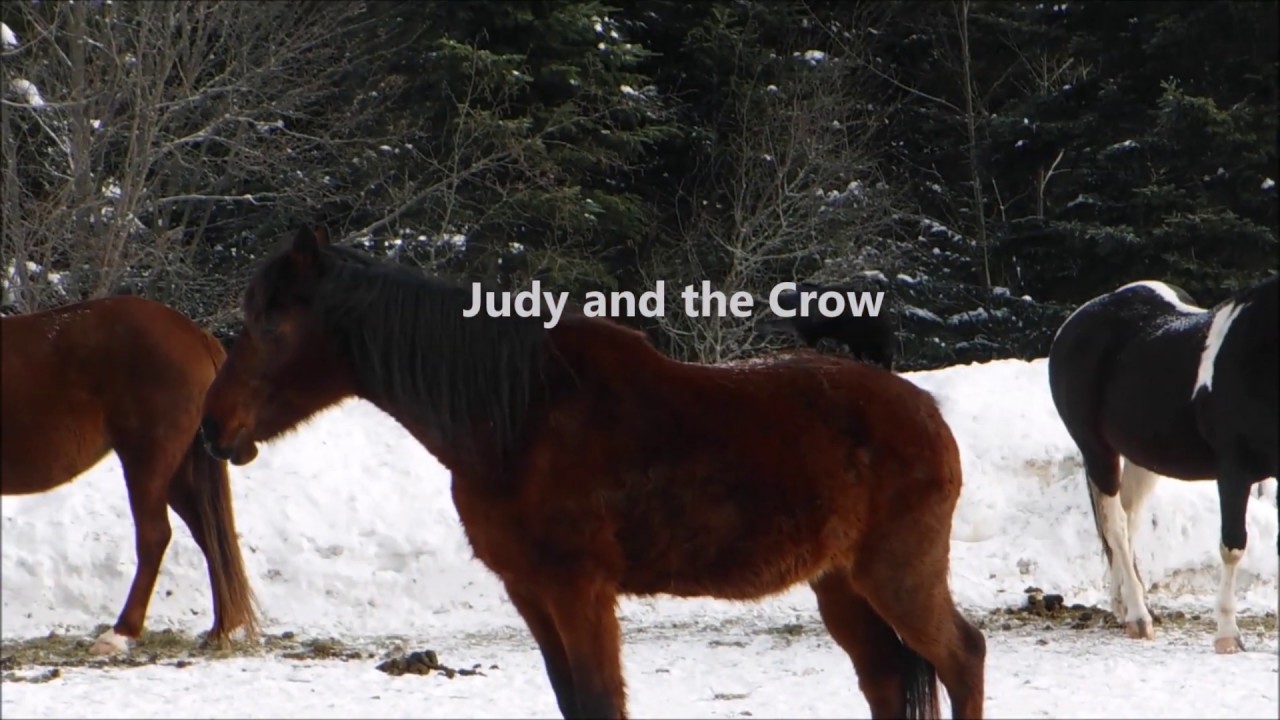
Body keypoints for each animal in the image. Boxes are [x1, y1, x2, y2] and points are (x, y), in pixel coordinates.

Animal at [1, 295, 260, 655]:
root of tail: (193, 332)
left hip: (145, 461)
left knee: (155, 536)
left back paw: (120, 632)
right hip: (177, 473)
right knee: (208, 536)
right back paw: (221, 630)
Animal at [1047, 276, 1278, 654]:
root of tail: (1076, 321)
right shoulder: (1234, 471)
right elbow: (1232, 546)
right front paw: (1227, 634)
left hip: (1142, 460)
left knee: (1128, 520)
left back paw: (1123, 606)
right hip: (1097, 451)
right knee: (1115, 525)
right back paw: (1139, 618)